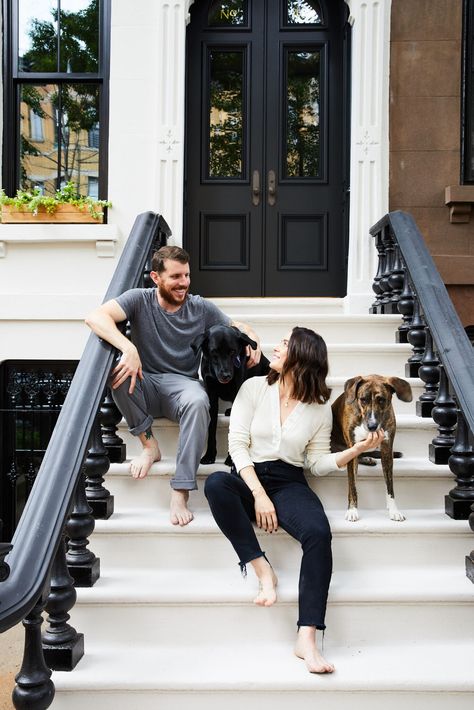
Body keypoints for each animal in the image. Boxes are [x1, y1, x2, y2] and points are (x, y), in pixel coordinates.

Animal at [190, 324, 270, 468]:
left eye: (232, 352)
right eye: (214, 352)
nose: (226, 375)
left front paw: (231, 459)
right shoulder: (211, 397)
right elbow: (211, 429)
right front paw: (209, 455)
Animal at [332, 378, 412, 524]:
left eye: (382, 400)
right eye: (363, 399)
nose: (372, 426)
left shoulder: (387, 449)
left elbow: (390, 486)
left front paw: (394, 511)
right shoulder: (352, 447)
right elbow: (352, 485)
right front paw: (352, 510)